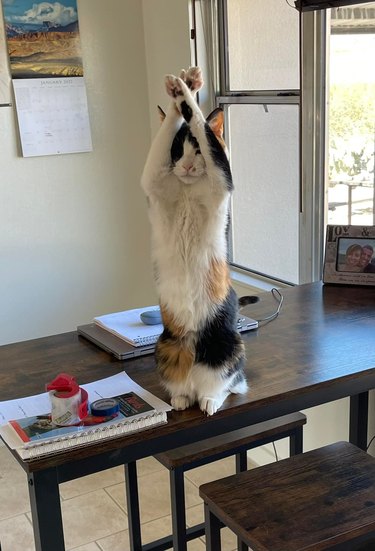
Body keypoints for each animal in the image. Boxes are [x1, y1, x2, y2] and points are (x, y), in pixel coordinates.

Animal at [141, 67, 256, 416]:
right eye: (177, 150)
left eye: (197, 150)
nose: (189, 165)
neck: (187, 191)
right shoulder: (153, 181)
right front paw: (179, 92)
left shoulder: (222, 178)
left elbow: (204, 127)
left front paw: (187, 90)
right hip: (164, 346)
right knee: (182, 386)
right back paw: (180, 399)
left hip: (228, 345)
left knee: (227, 385)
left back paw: (209, 401)